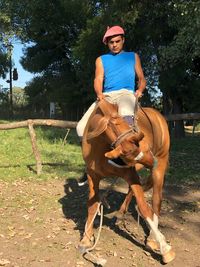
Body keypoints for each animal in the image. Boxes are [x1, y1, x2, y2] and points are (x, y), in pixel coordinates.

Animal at [79, 98, 176, 264]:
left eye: (144, 145)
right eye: (128, 156)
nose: (152, 162)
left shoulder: (130, 174)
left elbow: (144, 208)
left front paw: (165, 249)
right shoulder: (93, 176)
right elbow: (92, 206)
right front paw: (85, 239)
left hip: (160, 166)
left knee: (156, 200)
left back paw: (152, 238)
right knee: (134, 190)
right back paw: (120, 213)